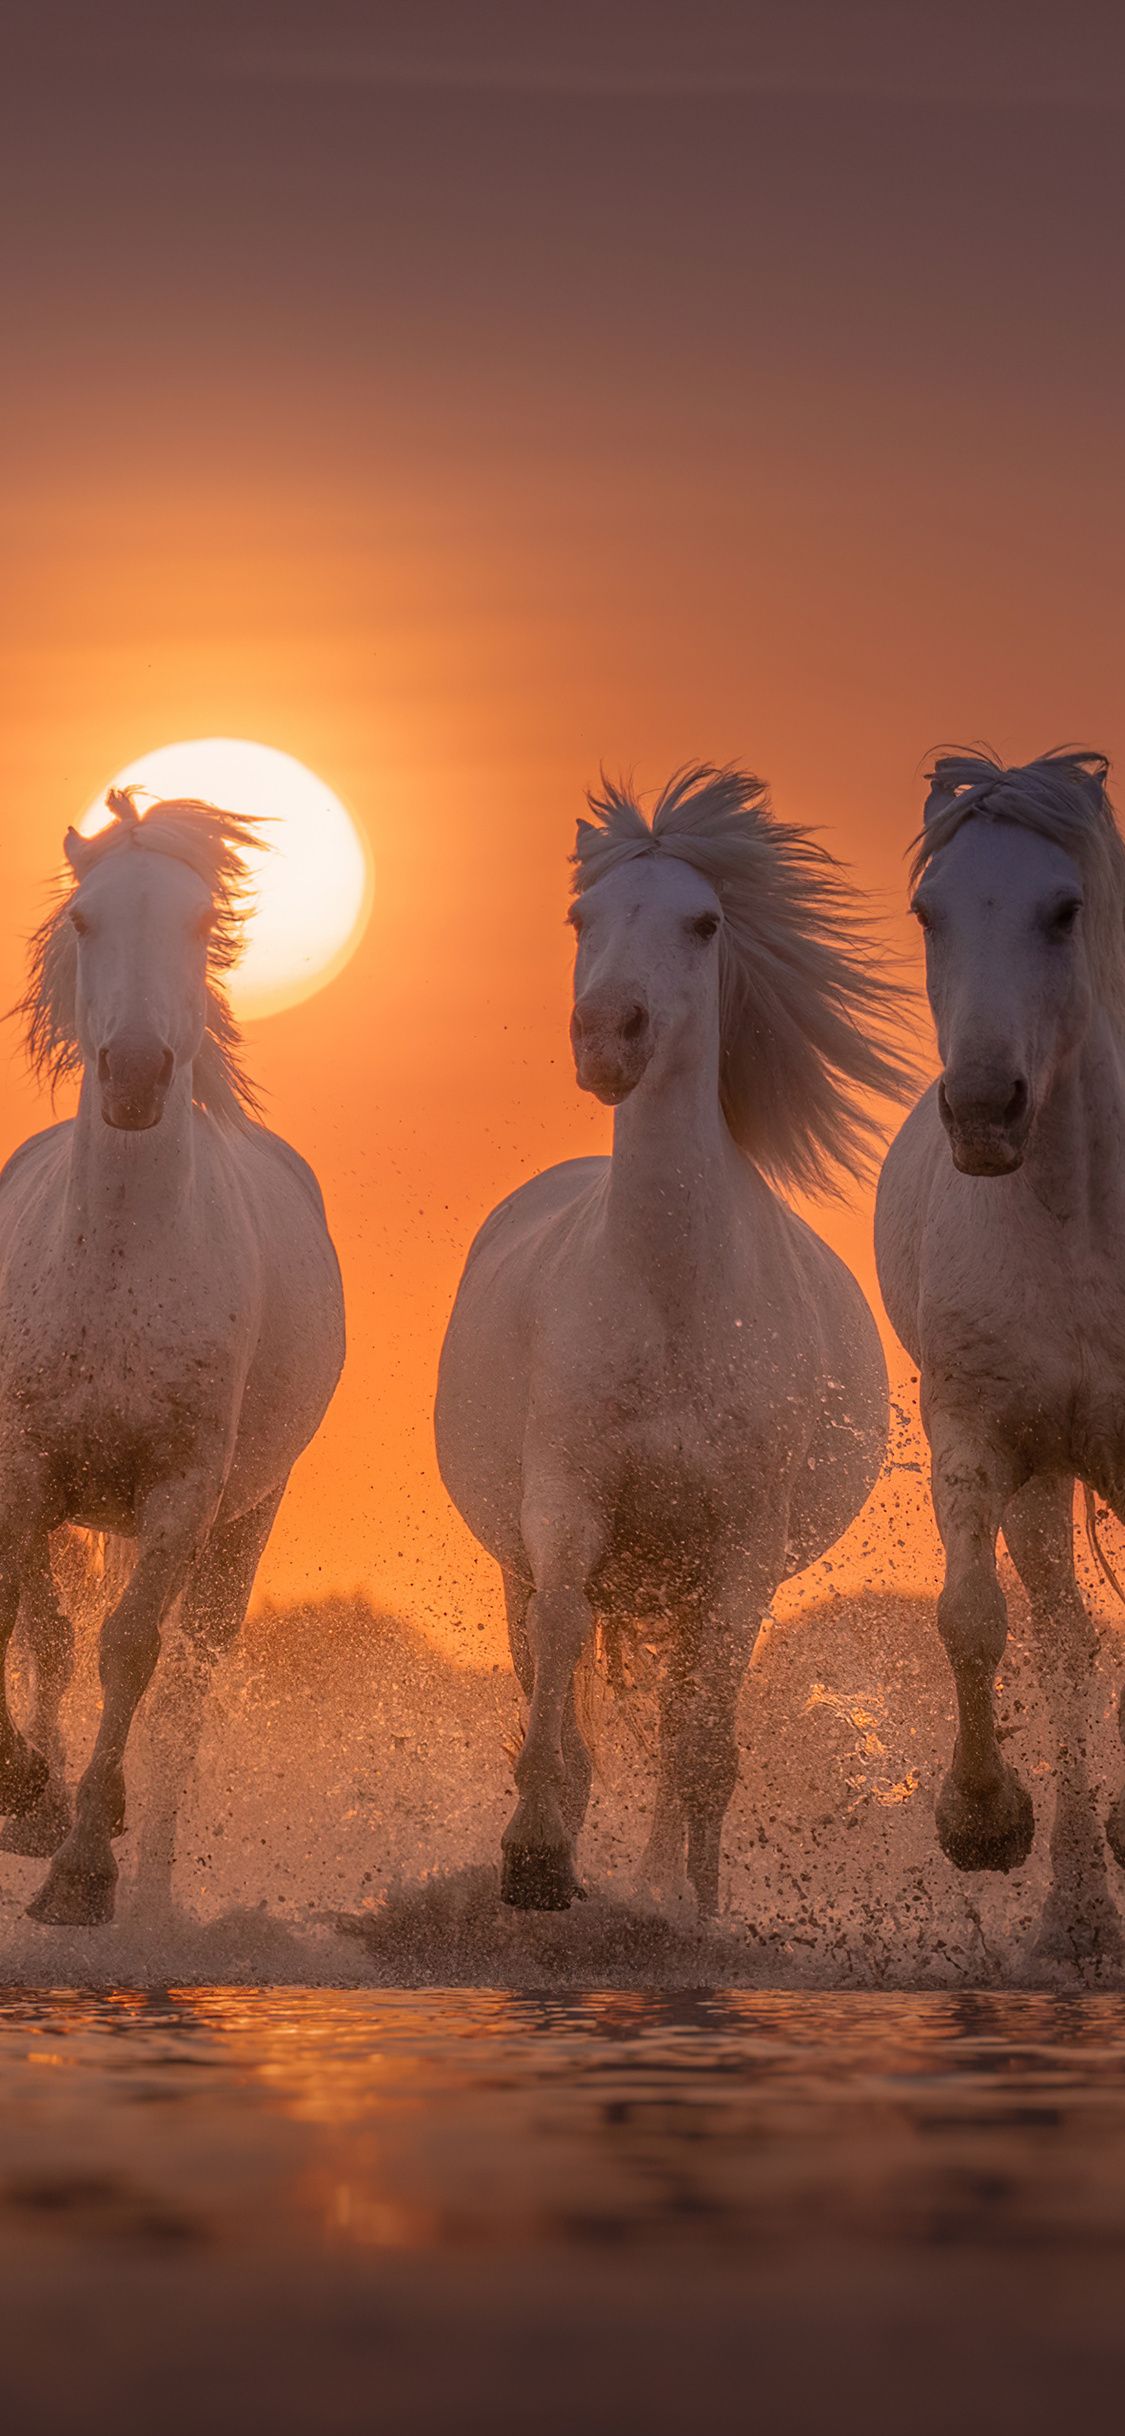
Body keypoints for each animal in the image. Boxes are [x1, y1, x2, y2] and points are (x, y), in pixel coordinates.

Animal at [0, 794, 345, 1919]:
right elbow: (38, 1628)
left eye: (200, 924)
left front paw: (80, 1869)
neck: (119, 1263)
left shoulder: (184, 1492)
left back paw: (145, 1887)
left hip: (241, 1524)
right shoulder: (25, 1466)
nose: (140, 1076)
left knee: (184, 1699)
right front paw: (26, 1800)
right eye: (86, 921)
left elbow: (128, 1651)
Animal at [435, 760, 910, 1900]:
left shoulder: (738, 1554)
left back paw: (661, 1883)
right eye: (581, 916)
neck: (672, 1300)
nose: (609, 1036)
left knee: (679, 1711)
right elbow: (562, 1658)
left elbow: (699, 1740)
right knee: (559, 1664)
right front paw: (535, 1853)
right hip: (537, 1561)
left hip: (686, 1584)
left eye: (703, 922)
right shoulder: (566, 1504)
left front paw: (691, 1905)